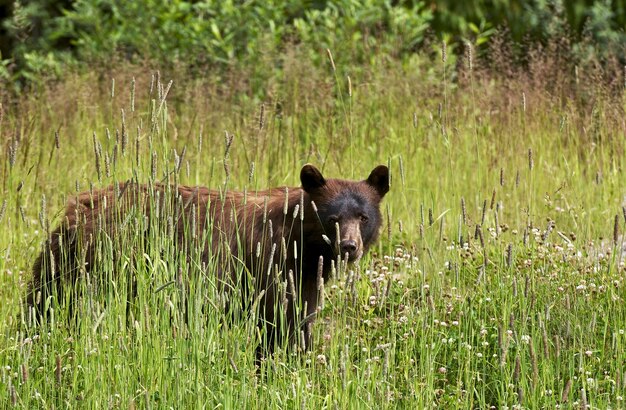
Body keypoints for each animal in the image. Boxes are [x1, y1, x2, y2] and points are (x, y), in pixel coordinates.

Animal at [29, 165, 388, 360]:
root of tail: (75, 209)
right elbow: (278, 323)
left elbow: (300, 318)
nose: (349, 247)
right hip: (97, 267)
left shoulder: (305, 276)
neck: (303, 242)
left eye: (363, 216)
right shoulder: (271, 266)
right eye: (333, 218)